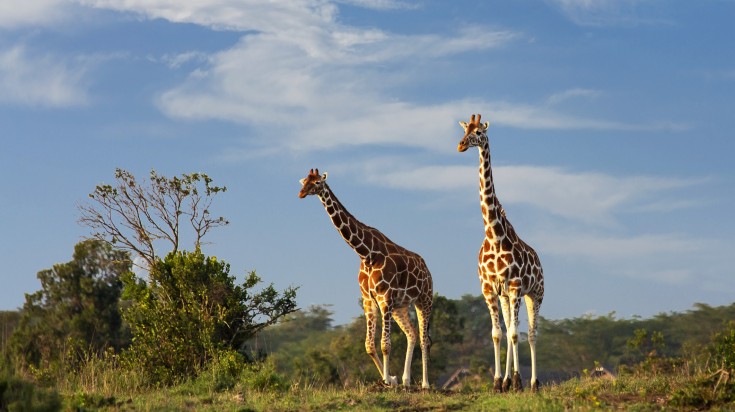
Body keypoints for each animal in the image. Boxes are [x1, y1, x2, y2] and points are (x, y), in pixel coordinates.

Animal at [300, 169, 434, 388]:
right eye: (304, 181)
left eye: (318, 182)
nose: (301, 193)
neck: (366, 253)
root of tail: (427, 269)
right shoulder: (369, 299)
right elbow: (369, 345)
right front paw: (391, 378)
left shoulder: (384, 297)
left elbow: (385, 344)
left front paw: (388, 380)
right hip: (400, 306)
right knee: (412, 334)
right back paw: (406, 380)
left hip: (424, 299)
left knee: (424, 339)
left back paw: (425, 384)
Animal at [458, 114, 544, 392]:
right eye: (465, 130)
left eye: (479, 133)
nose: (461, 145)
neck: (494, 236)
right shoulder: (489, 288)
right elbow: (498, 334)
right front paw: (498, 383)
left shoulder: (516, 286)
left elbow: (516, 333)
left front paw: (517, 382)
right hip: (507, 296)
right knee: (508, 330)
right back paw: (507, 381)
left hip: (535, 294)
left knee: (531, 334)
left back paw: (532, 383)